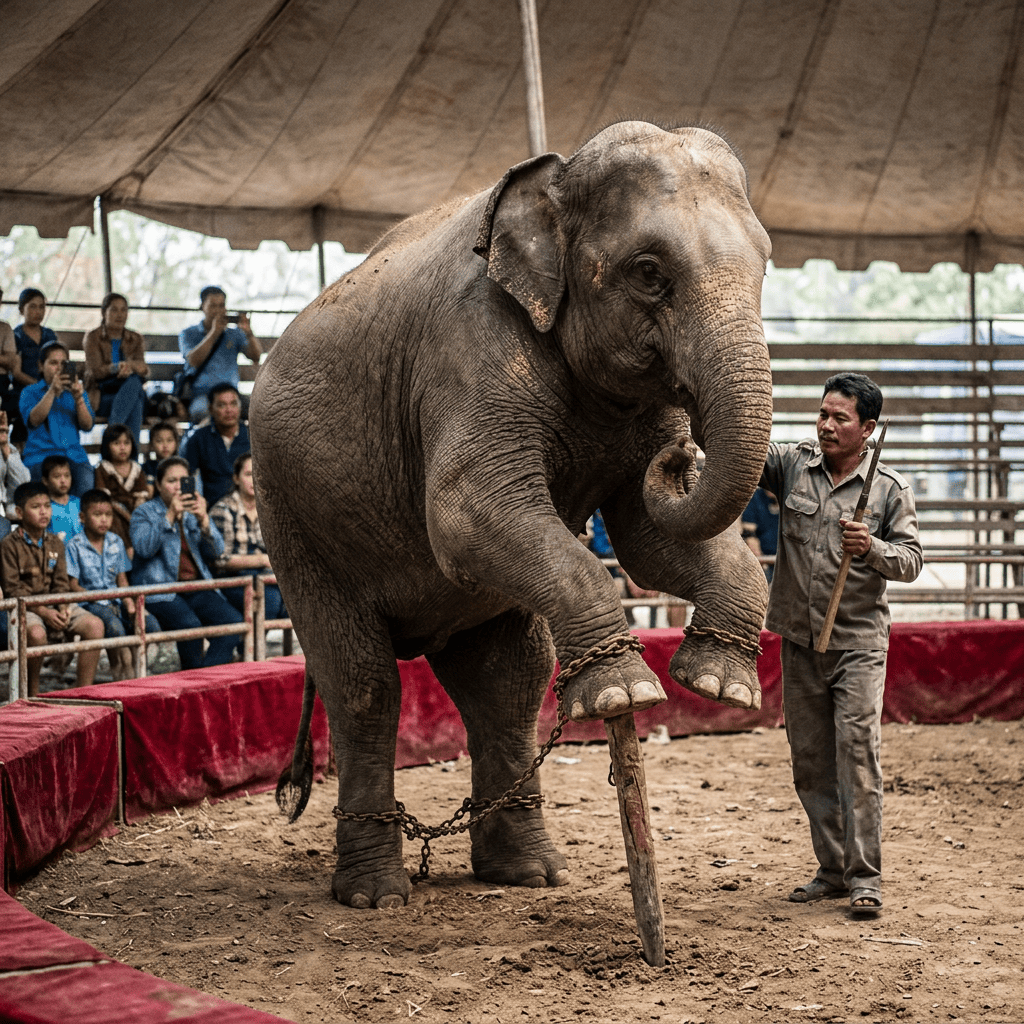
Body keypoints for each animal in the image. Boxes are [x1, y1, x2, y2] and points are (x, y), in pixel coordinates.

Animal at [251, 120, 773, 910]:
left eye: (766, 264)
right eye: (649, 271)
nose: (681, 455)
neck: (557, 179)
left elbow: (644, 537)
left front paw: (720, 686)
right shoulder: (470, 347)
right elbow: (466, 512)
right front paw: (628, 691)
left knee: (510, 677)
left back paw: (528, 874)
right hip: (291, 511)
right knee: (364, 682)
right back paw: (376, 895)